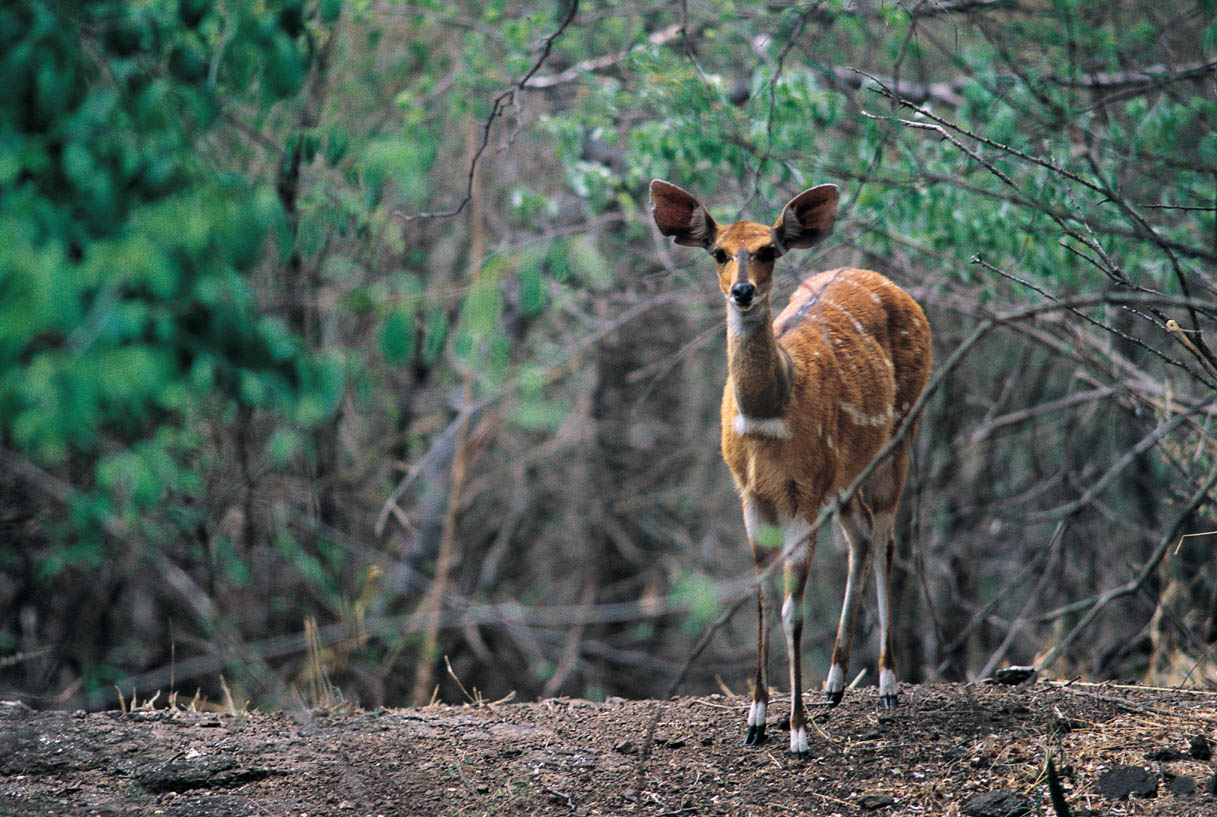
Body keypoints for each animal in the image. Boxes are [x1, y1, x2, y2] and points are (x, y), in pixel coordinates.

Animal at [650, 180, 931, 756]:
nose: (742, 291)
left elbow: (791, 608)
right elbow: (760, 599)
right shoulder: (752, 494)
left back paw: (888, 684)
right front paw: (755, 720)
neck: (769, 414)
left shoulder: (803, 492)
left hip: (901, 435)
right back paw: (834, 683)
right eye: (719, 252)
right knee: (861, 534)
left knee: (886, 536)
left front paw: (797, 732)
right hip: (843, 474)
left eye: (768, 250)